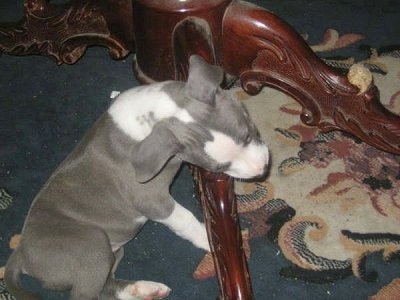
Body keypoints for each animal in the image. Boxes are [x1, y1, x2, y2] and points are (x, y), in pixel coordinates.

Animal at [3, 55, 268, 300]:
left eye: (247, 134)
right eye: (220, 165)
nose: (262, 168)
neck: (156, 115)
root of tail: (21, 252)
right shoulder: (151, 199)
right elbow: (184, 217)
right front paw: (208, 238)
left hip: (110, 253)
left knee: (106, 287)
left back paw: (145, 289)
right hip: (92, 244)